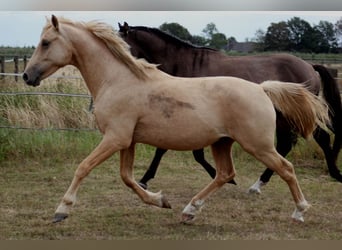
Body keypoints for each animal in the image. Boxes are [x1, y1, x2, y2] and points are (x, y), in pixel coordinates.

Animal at [119, 22, 342, 193]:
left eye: (123, 44)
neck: (186, 64)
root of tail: (309, 66)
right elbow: (188, 152)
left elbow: (170, 150)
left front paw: (144, 180)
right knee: (291, 144)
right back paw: (261, 183)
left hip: (292, 115)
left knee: (313, 140)